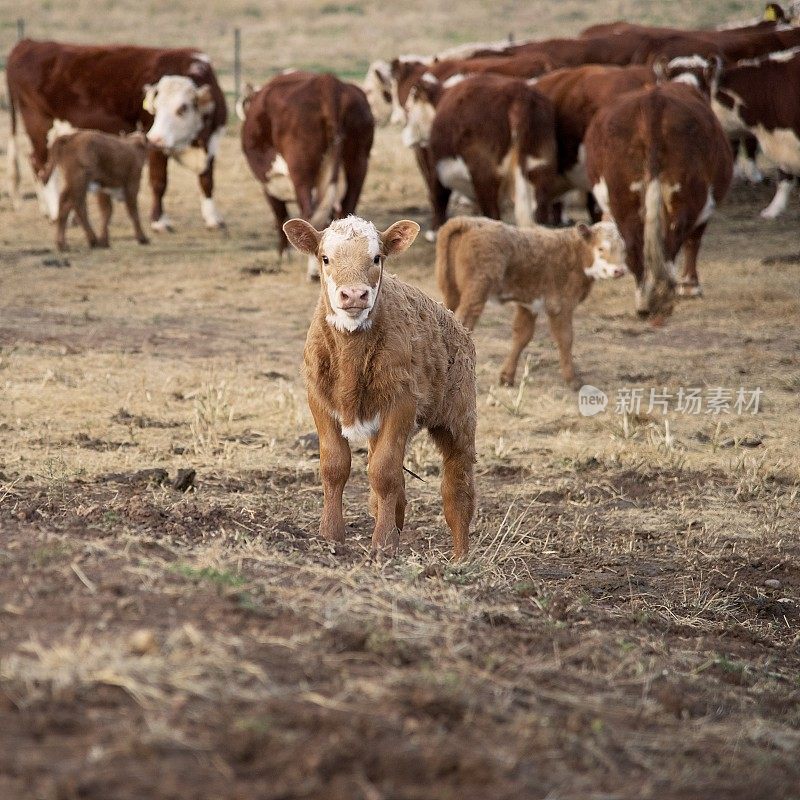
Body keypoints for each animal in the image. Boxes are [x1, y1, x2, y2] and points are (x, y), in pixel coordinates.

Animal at [7, 38, 228, 230]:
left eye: (182, 108)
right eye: (155, 107)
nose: (155, 138)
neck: (196, 141)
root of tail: (29, 43)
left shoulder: (212, 143)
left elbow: (207, 181)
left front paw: (213, 218)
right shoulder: (154, 145)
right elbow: (159, 182)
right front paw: (159, 221)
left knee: (35, 163)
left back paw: (47, 211)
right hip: (39, 126)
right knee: (43, 167)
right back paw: (55, 213)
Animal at [241, 72, 376, 278]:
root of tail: (328, 82)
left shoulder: (268, 185)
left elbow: (280, 214)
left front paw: (283, 255)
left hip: (301, 171)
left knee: (310, 214)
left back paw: (313, 272)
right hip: (358, 163)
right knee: (346, 209)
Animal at [282, 216, 476, 560]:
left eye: (376, 258)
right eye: (325, 258)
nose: (353, 295)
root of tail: (456, 323)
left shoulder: (402, 402)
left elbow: (384, 473)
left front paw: (383, 545)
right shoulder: (318, 399)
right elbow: (335, 465)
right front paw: (331, 536)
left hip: (460, 418)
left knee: (457, 487)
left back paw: (460, 558)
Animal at [584, 80, 736, 318]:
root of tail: (653, 102)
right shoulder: (706, 208)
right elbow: (693, 240)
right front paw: (690, 287)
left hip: (623, 196)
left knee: (634, 245)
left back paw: (643, 301)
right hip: (687, 195)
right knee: (673, 242)